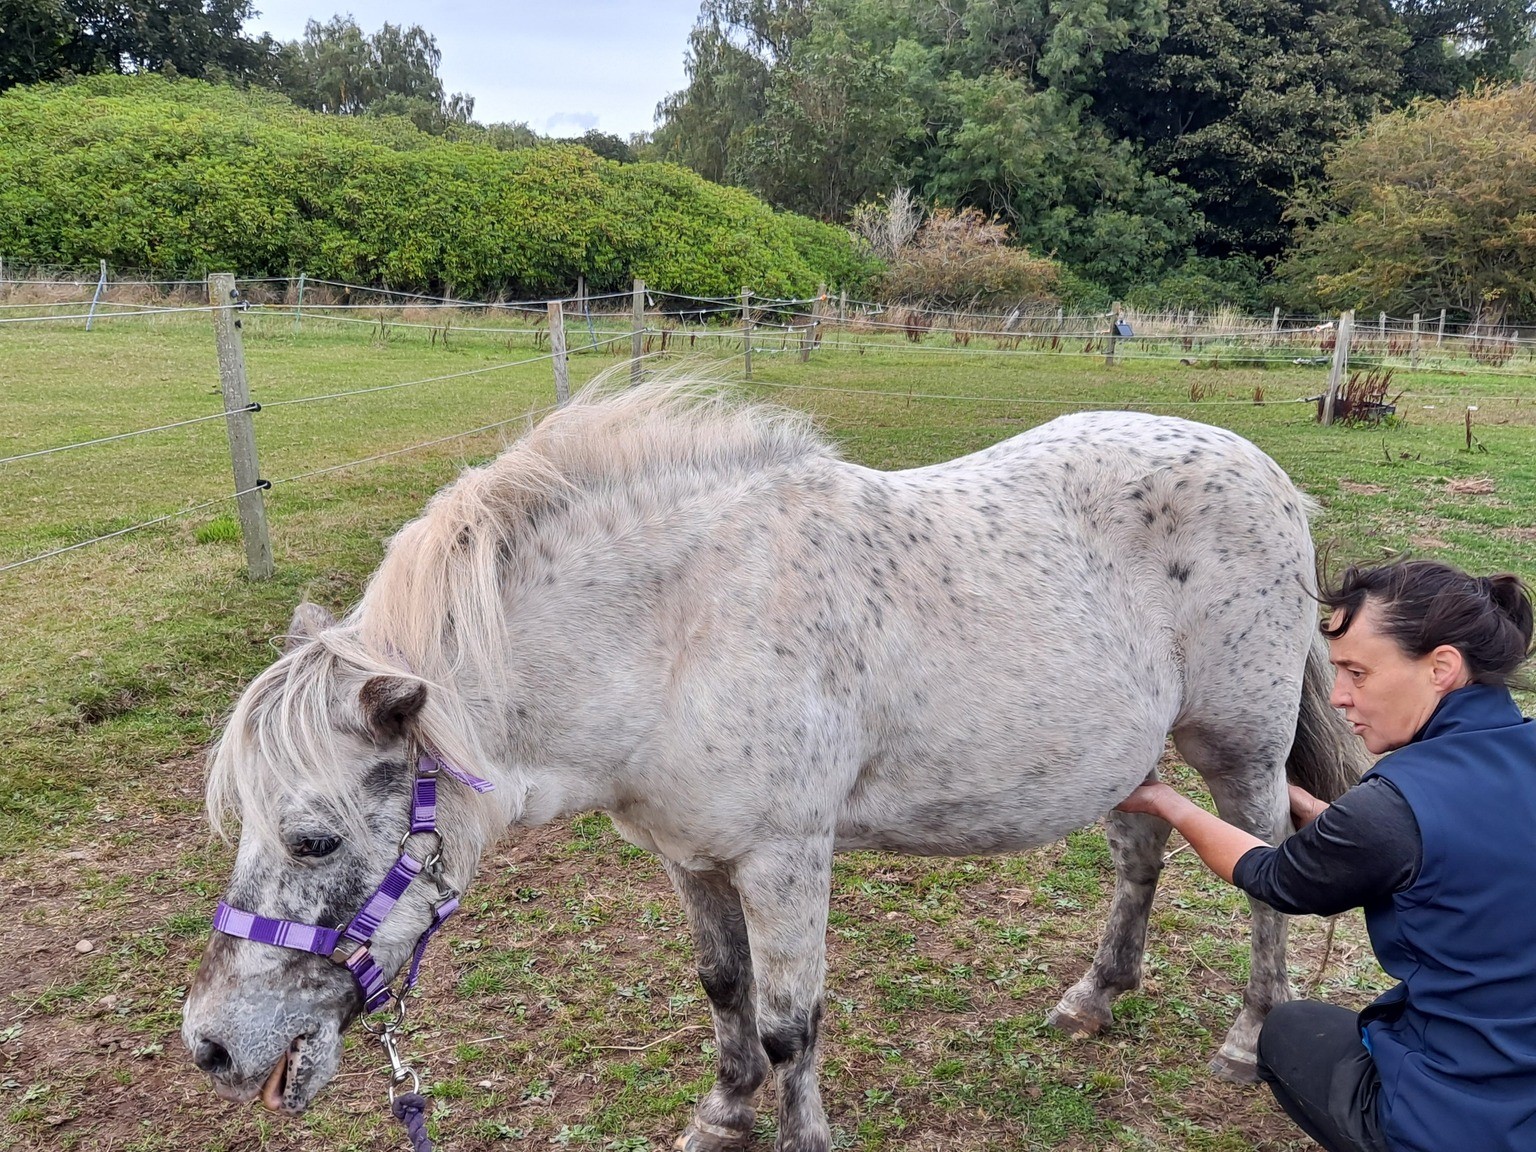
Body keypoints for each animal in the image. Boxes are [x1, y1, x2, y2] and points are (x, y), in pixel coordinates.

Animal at [182, 379, 1363, 1152]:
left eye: (312, 837)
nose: (212, 1048)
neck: (676, 631)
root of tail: (1271, 477)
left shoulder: (787, 859)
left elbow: (795, 1022)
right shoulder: (690, 856)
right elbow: (725, 989)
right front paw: (723, 1112)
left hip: (1240, 748)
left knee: (1265, 866)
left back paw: (1247, 1038)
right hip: (1128, 758)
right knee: (1141, 852)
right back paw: (1094, 997)